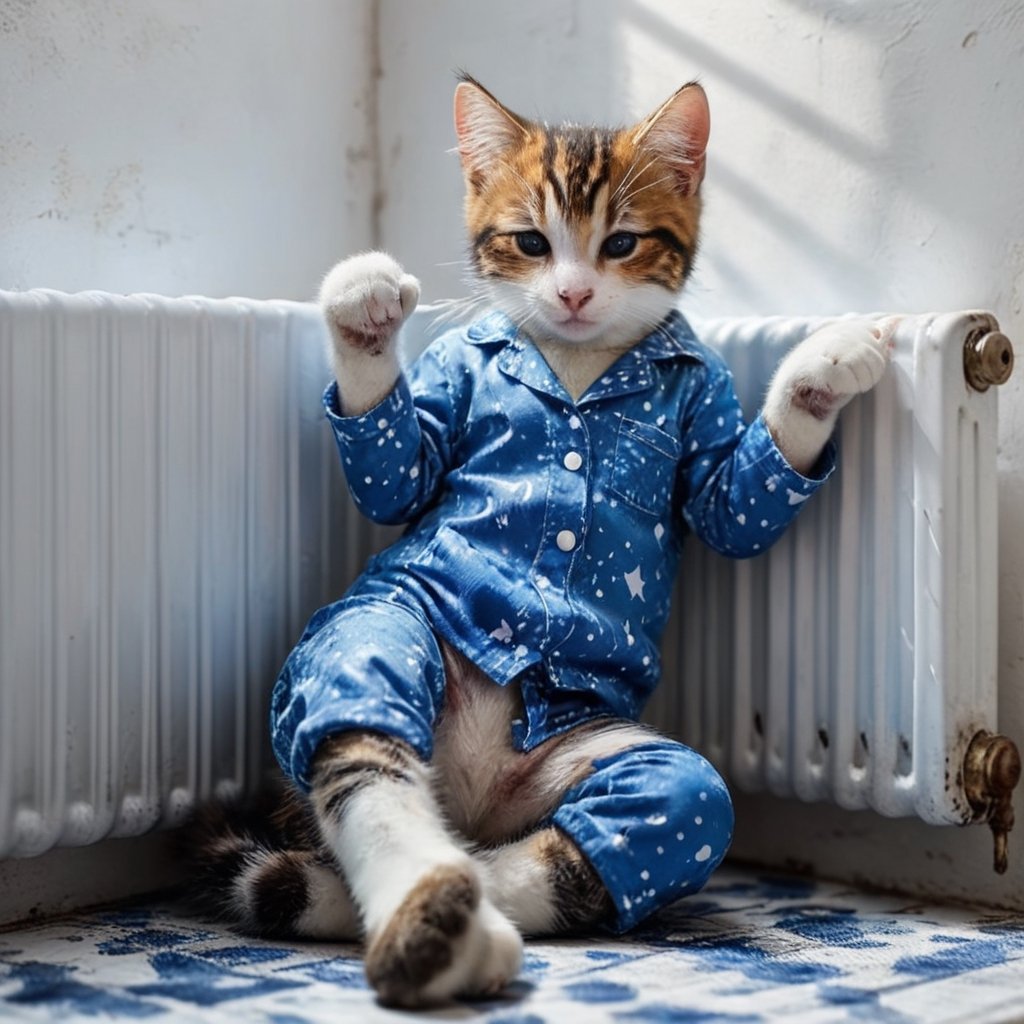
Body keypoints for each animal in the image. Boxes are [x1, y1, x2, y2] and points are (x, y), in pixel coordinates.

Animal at [188, 77, 892, 1007]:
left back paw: (454, 901)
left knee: (664, 807)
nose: (572, 295)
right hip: (385, 626)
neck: (576, 356)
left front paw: (825, 366)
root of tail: (471, 803)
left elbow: (730, 506)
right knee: (361, 713)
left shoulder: (704, 416)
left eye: (621, 243)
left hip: (584, 753)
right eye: (530, 241)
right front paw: (364, 317)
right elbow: (400, 476)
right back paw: (427, 910)